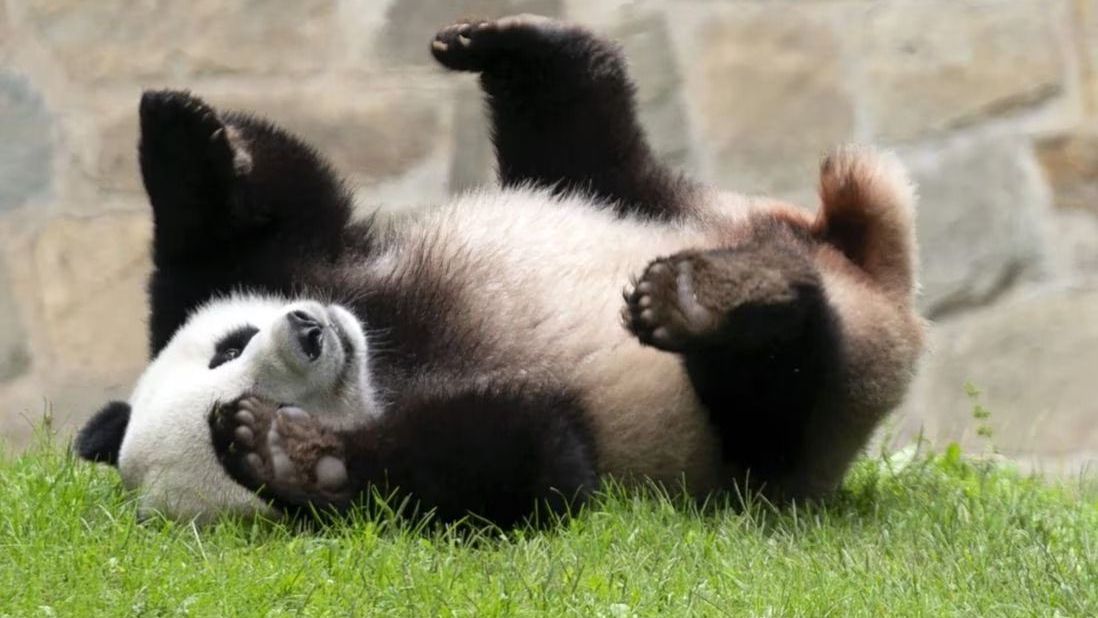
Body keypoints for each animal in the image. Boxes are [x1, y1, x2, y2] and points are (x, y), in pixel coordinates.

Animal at [74, 15, 924, 526]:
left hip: (665, 203)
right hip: (781, 435)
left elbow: (263, 220)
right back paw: (716, 303)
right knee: (778, 390)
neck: (387, 358)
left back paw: (514, 48)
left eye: (228, 346)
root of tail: (871, 277)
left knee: (586, 141)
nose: (310, 332)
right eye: (247, 382)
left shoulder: (315, 266)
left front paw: (178, 131)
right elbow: (532, 464)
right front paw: (290, 454)